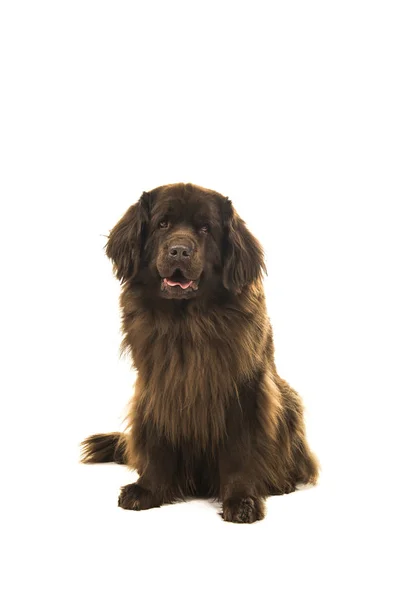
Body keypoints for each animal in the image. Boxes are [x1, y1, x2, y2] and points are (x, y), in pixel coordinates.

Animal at [82, 182, 318, 520]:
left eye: (205, 229)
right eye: (162, 224)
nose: (179, 250)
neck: (187, 322)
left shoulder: (244, 392)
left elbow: (240, 450)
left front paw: (242, 500)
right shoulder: (155, 389)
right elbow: (157, 442)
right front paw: (148, 490)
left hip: (289, 401)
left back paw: (282, 482)